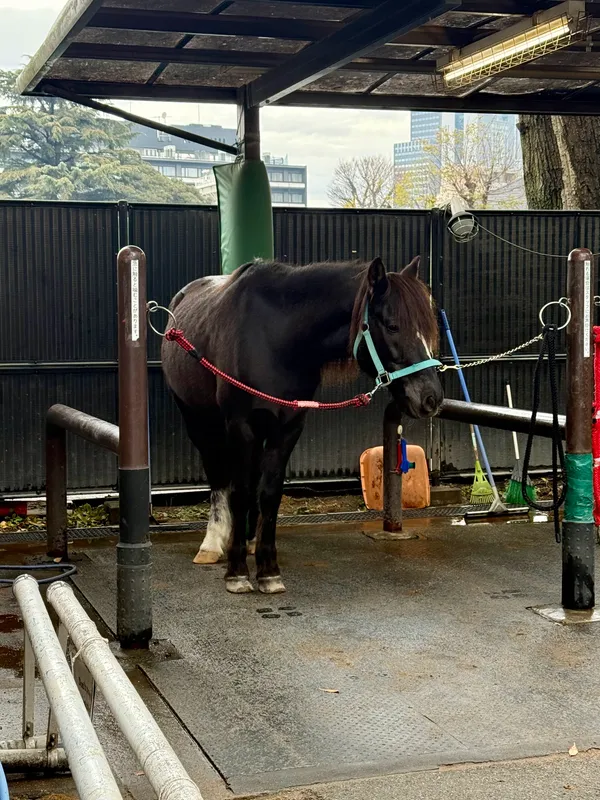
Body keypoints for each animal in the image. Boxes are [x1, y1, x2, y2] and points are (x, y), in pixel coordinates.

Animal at [161, 255, 443, 594]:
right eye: (392, 325)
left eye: (427, 328)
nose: (431, 398)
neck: (275, 339)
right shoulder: (240, 426)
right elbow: (240, 491)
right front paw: (237, 572)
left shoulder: (289, 427)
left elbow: (269, 492)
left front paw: (268, 570)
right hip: (199, 421)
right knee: (218, 476)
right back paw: (213, 543)